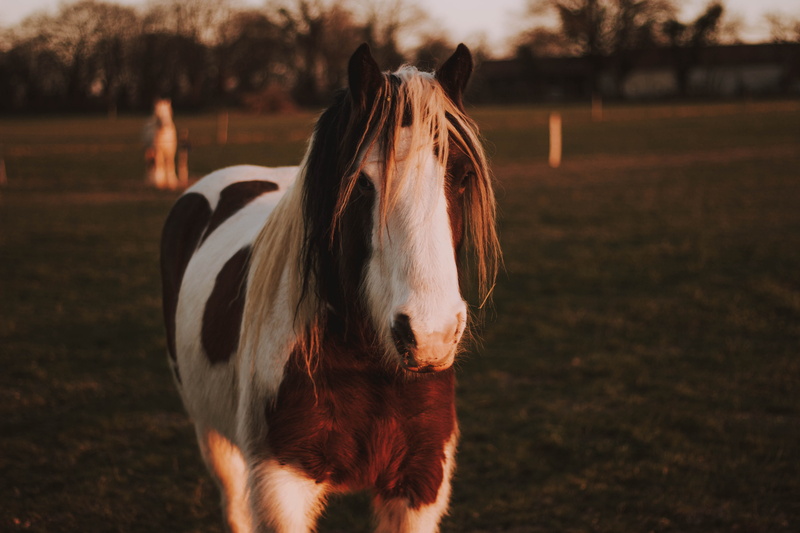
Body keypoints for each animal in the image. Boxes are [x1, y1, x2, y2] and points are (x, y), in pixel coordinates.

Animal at [160, 43, 499, 533]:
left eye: (463, 175)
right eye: (362, 184)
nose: (429, 335)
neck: (366, 364)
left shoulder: (420, 481)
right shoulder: (279, 486)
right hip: (213, 435)